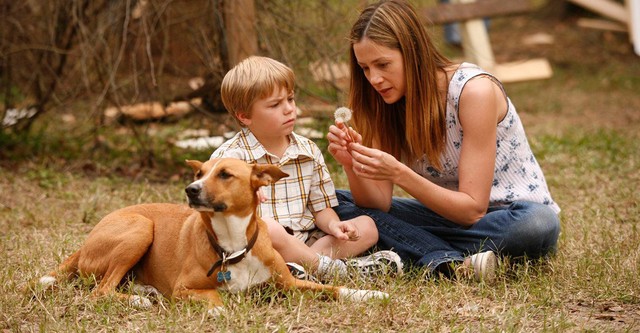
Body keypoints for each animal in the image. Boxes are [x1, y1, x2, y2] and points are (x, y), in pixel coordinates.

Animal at [41, 157, 390, 312]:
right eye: (199, 173)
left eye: (224, 174)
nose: (191, 189)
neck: (233, 245)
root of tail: (86, 242)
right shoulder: (184, 288)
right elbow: (214, 297)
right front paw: (219, 309)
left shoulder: (289, 284)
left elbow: (333, 288)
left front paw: (370, 294)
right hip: (141, 228)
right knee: (101, 290)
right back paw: (141, 300)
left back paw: (145, 292)